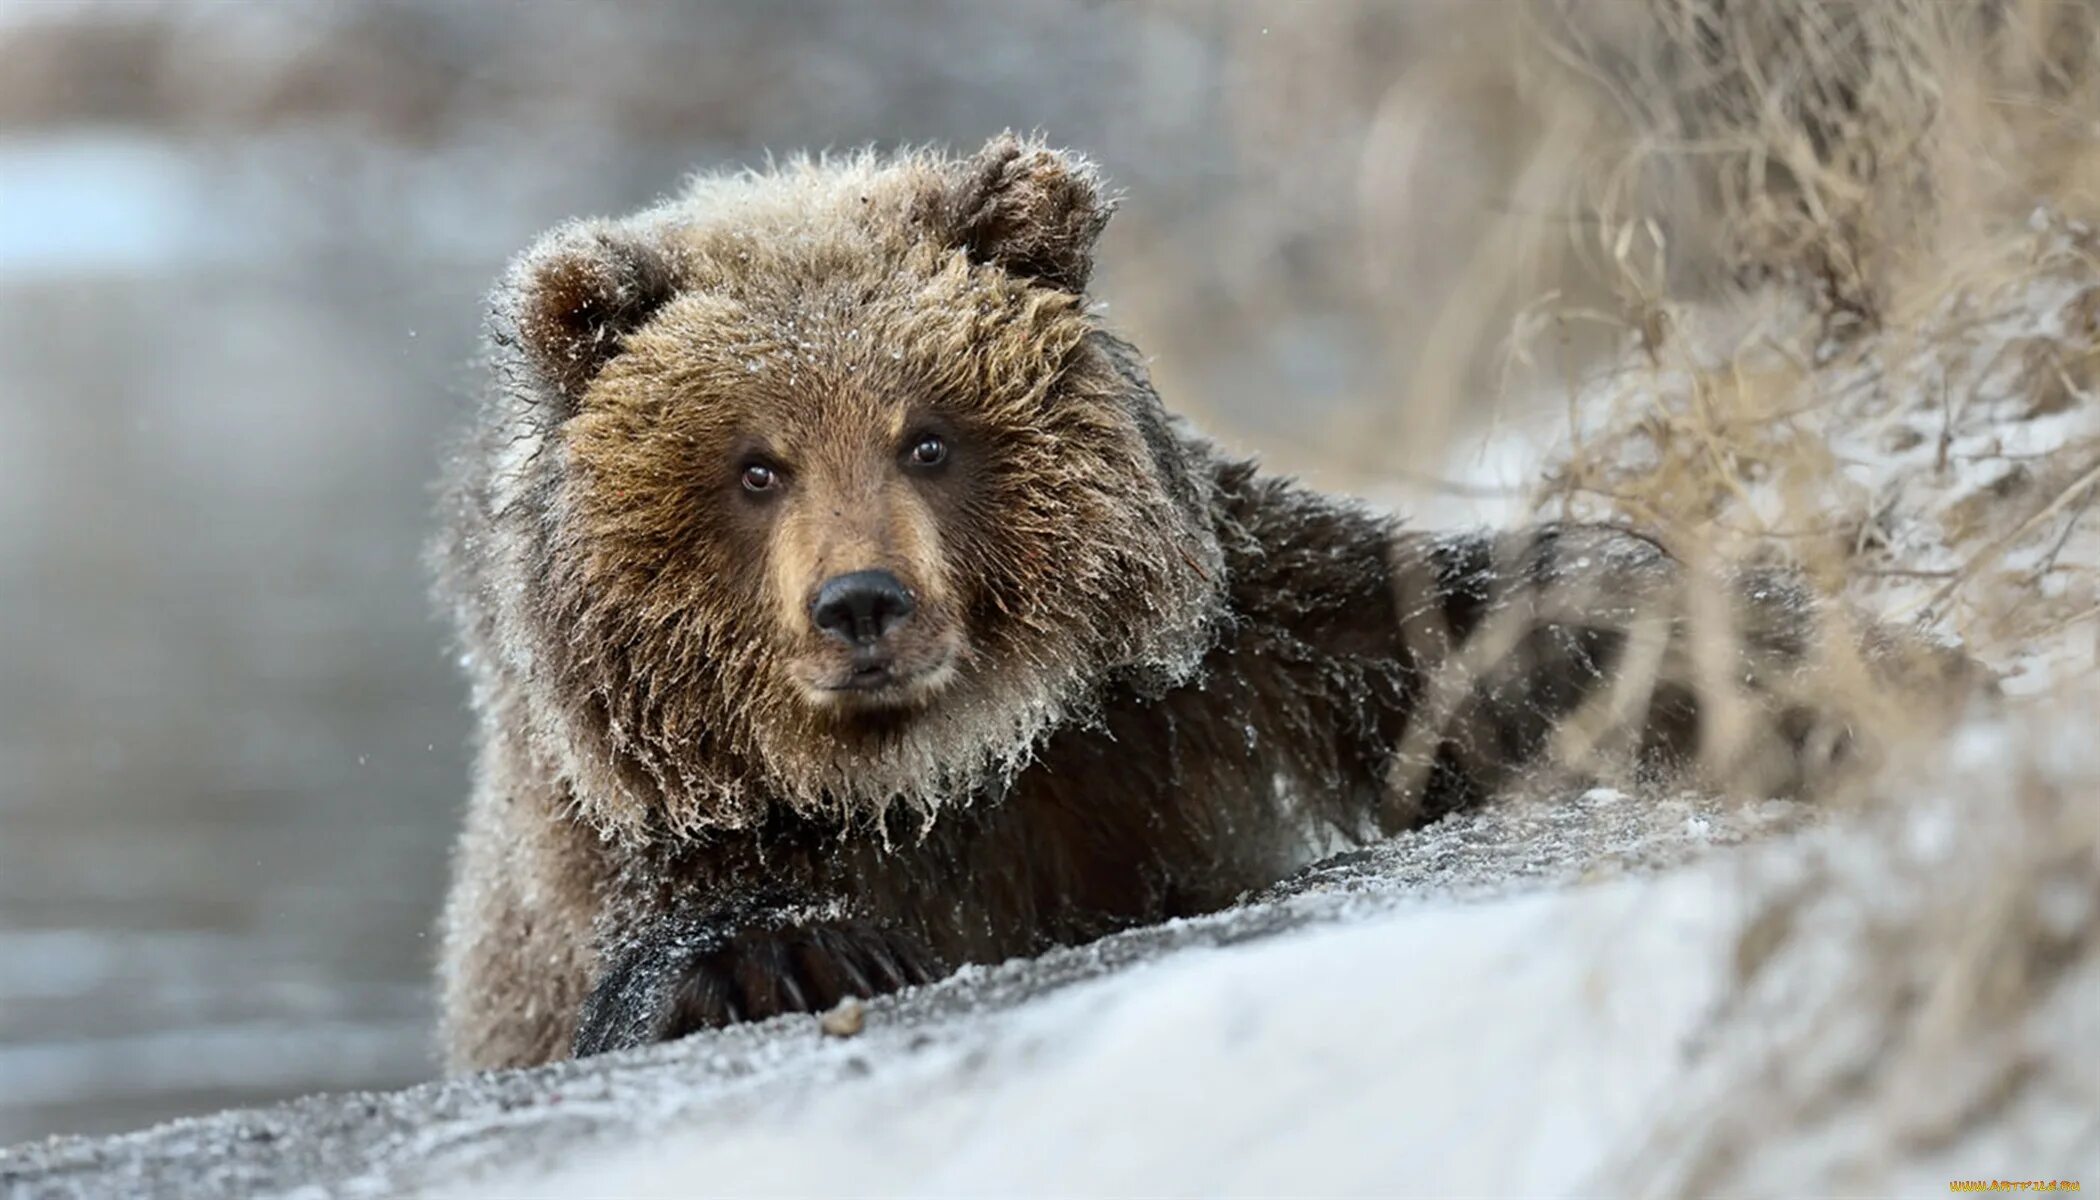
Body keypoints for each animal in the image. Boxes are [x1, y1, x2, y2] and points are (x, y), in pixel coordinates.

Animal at [434, 131, 1898, 1071]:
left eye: (926, 438)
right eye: (755, 464)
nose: (862, 603)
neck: (931, 769)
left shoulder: (1213, 682)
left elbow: (1468, 643)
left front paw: (1784, 665)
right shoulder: (613, 846)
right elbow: (669, 947)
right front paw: (787, 957)